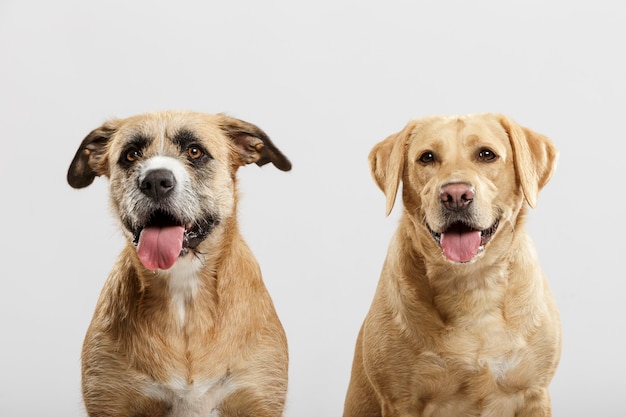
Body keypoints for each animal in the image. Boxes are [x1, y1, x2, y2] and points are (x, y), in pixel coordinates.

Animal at [67, 110, 292, 416]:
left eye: (195, 151)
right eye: (131, 154)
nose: (155, 181)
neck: (184, 292)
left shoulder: (256, 398)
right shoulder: (111, 399)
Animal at [342, 114, 560, 416]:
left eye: (486, 154)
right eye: (427, 157)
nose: (456, 195)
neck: (470, 283)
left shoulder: (534, 394)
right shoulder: (401, 402)